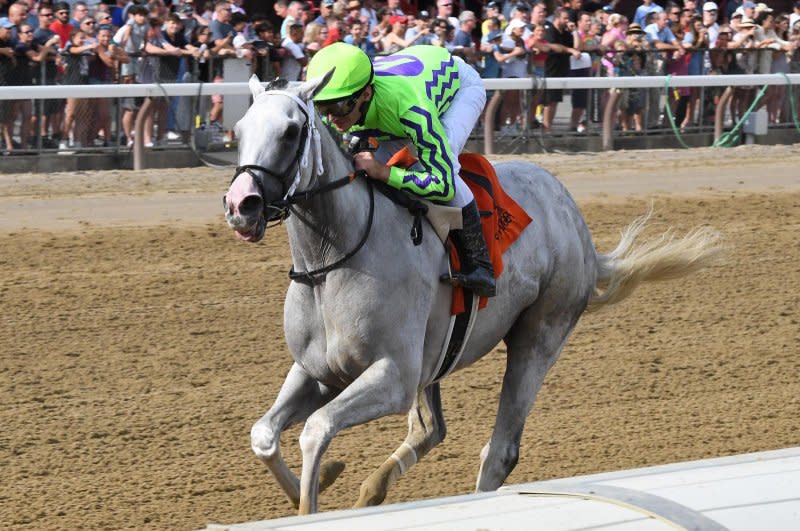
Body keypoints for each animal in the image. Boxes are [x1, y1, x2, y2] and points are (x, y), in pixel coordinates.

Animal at [222, 75, 720, 516]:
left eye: (290, 131)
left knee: (500, 449)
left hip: (539, 337)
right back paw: (372, 492)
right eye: (239, 130)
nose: (241, 205)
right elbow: (263, 433)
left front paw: (312, 500)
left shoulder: (392, 376)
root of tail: (575, 220)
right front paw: (321, 481)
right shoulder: (318, 370)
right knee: (430, 430)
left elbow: (316, 428)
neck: (332, 261)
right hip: (434, 360)